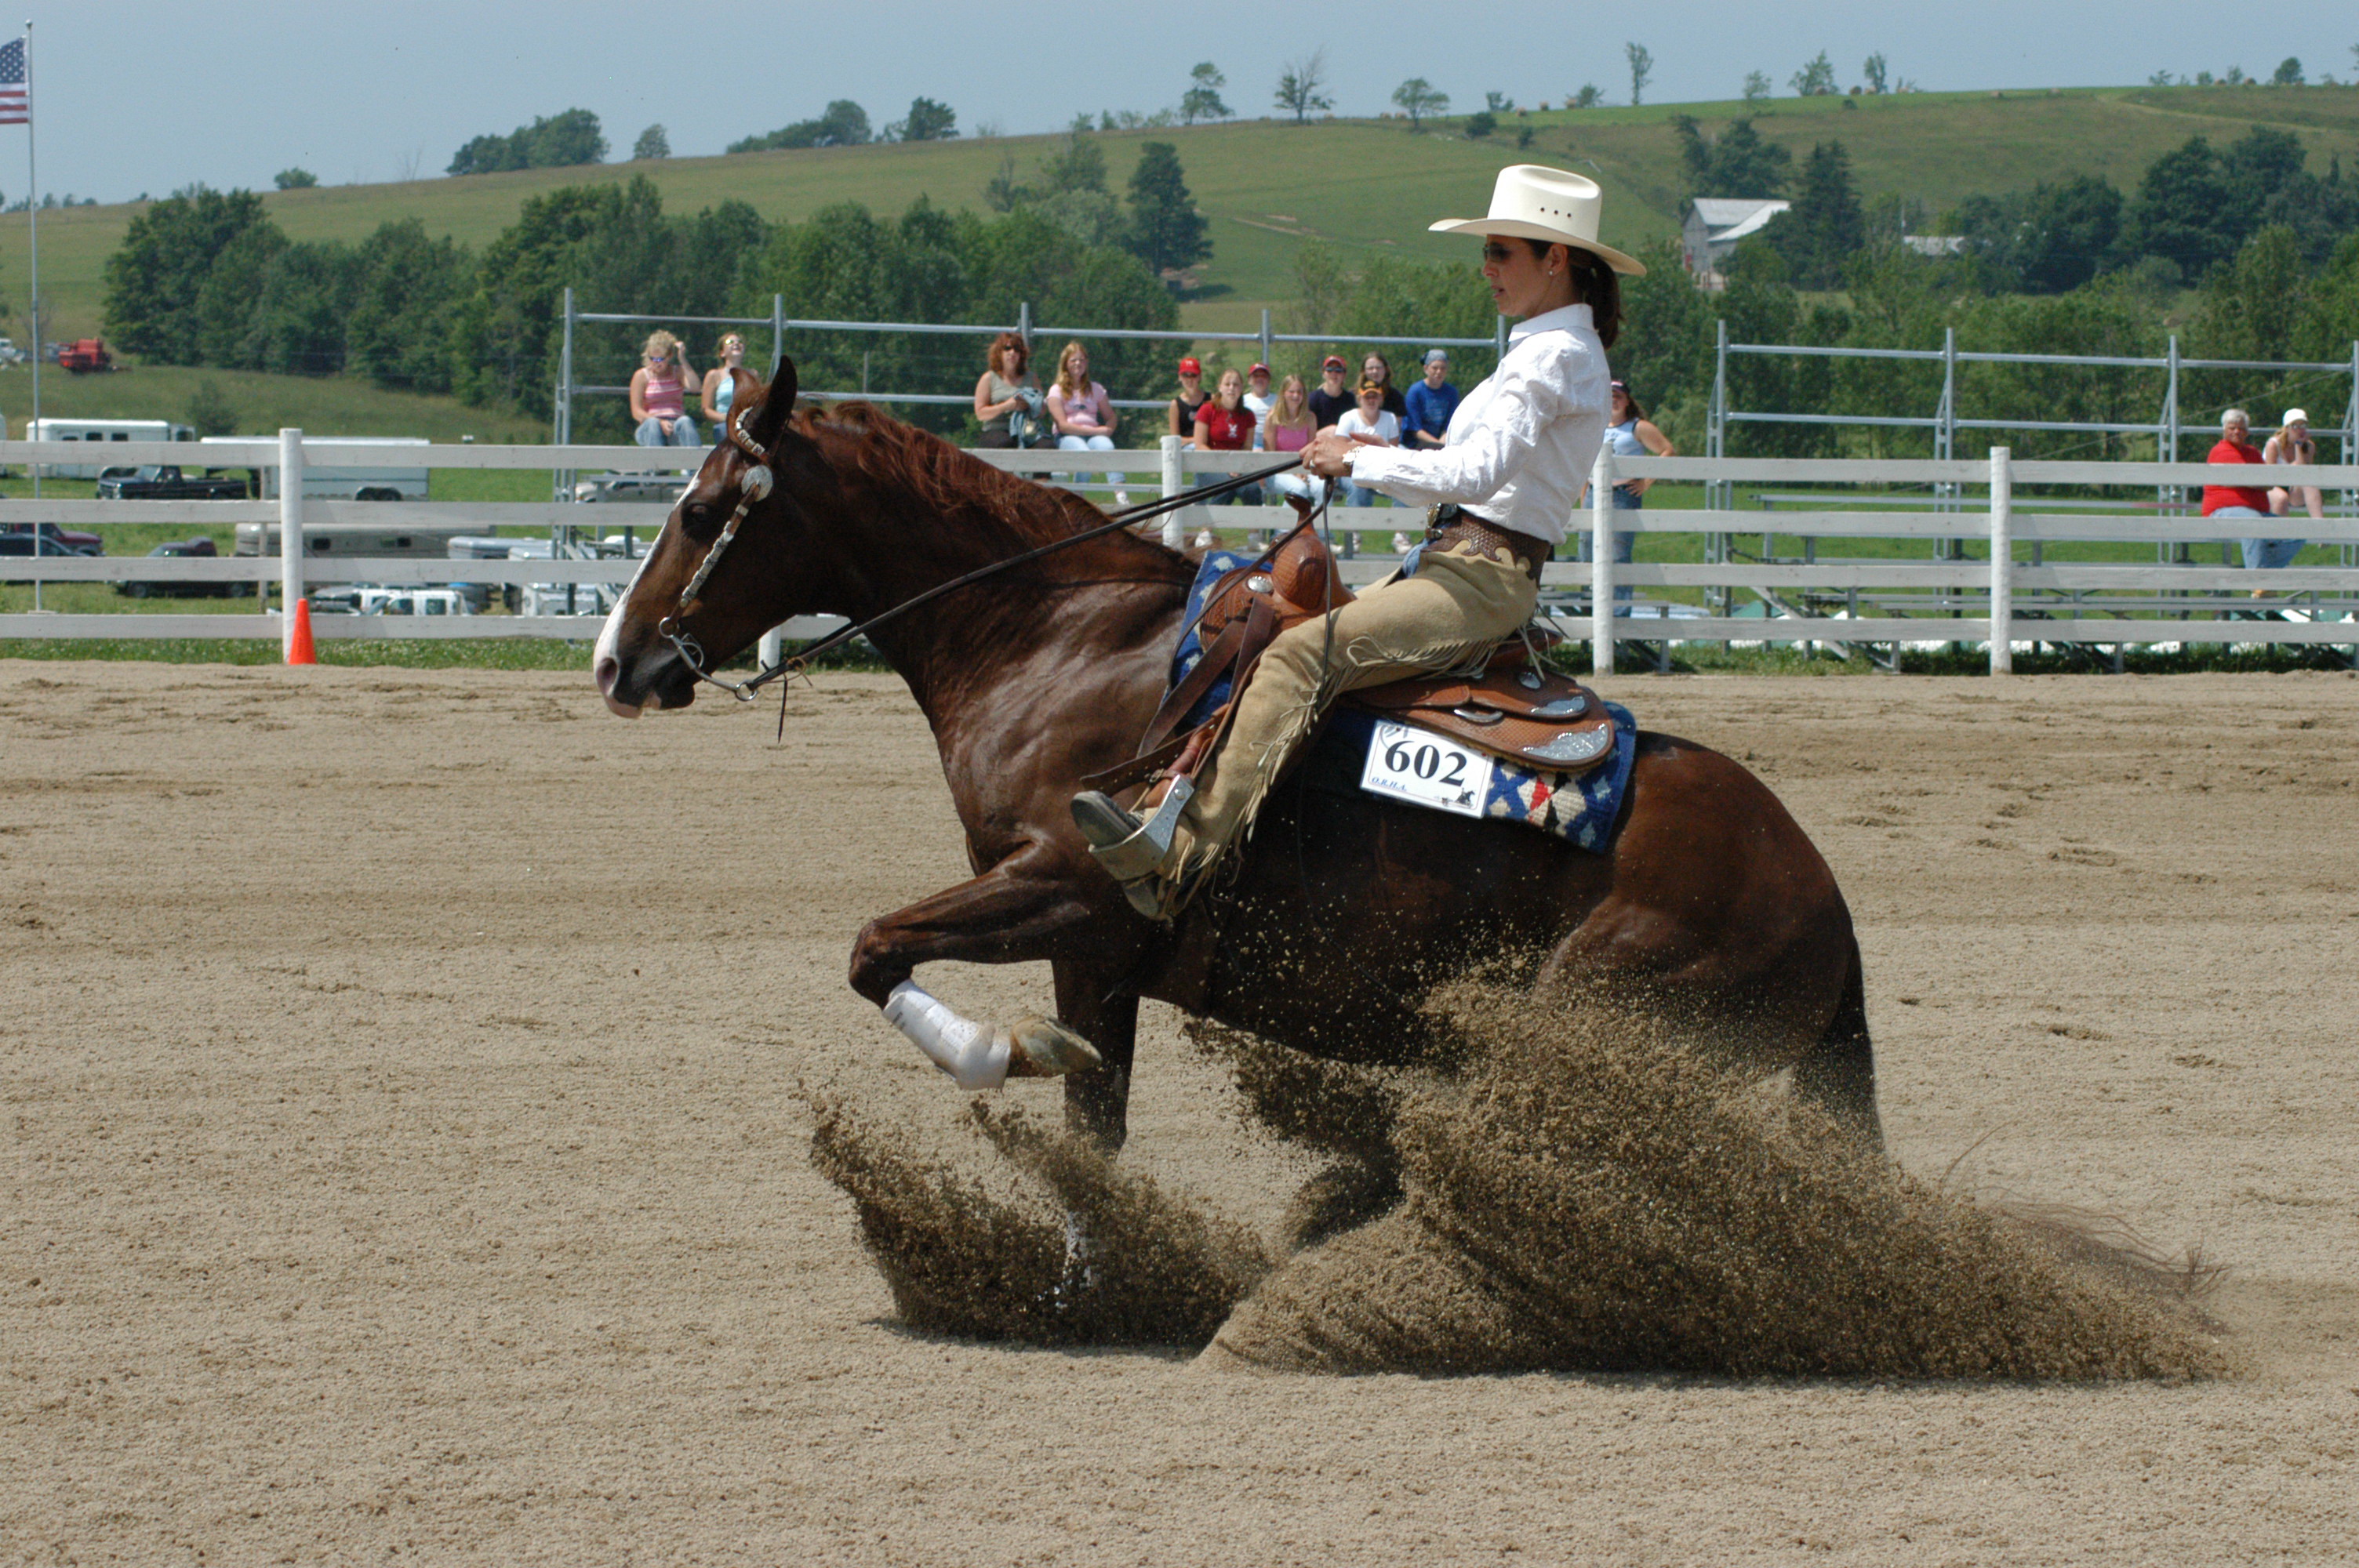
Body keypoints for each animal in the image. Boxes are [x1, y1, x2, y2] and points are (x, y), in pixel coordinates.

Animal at [595, 363, 1881, 1152]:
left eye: (704, 513)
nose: (616, 661)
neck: (1060, 639)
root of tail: (1822, 894)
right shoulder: (1095, 952)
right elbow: (1096, 1127)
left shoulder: (1071, 891)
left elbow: (874, 950)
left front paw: (1002, 1053)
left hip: (1595, 1019)